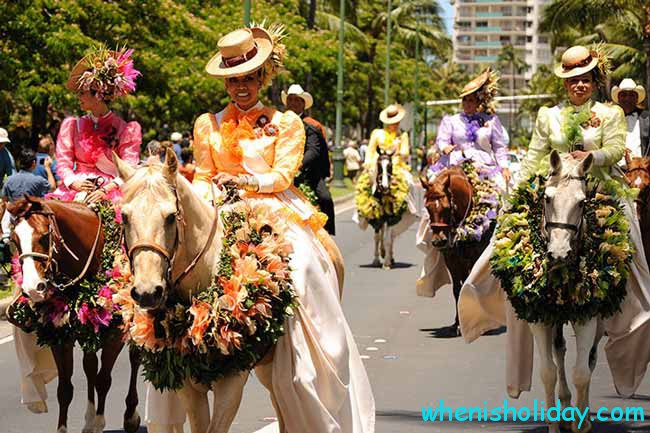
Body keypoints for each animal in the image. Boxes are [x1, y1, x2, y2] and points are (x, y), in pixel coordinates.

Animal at [6, 197, 141, 432]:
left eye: (44, 236)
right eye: (14, 240)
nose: (33, 288)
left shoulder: (115, 334)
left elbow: (103, 379)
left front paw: (99, 422)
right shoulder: (60, 337)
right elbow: (65, 389)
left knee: (134, 358)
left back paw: (130, 414)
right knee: (89, 365)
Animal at [420, 165, 492, 334]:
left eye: (447, 208)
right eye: (427, 207)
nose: (439, 241)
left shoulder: (474, 257)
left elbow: (469, 284)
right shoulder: (451, 260)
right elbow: (457, 289)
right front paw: (458, 323)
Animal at [528, 149, 604, 432]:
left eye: (582, 203)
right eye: (547, 198)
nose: (559, 253)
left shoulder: (588, 316)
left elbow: (582, 373)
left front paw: (581, 425)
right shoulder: (538, 317)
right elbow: (548, 372)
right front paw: (553, 424)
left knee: (591, 359)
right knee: (559, 350)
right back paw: (565, 404)